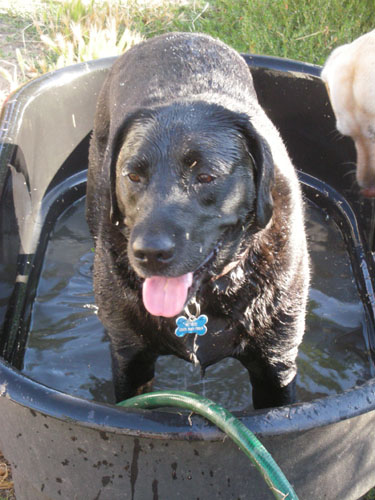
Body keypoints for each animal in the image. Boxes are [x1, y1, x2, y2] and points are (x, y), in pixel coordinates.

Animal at [86, 34, 310, 410]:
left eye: (205, 176)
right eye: (133, 175)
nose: (149, 253)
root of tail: (176, 36)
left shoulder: (276, 363)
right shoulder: (130, 358)